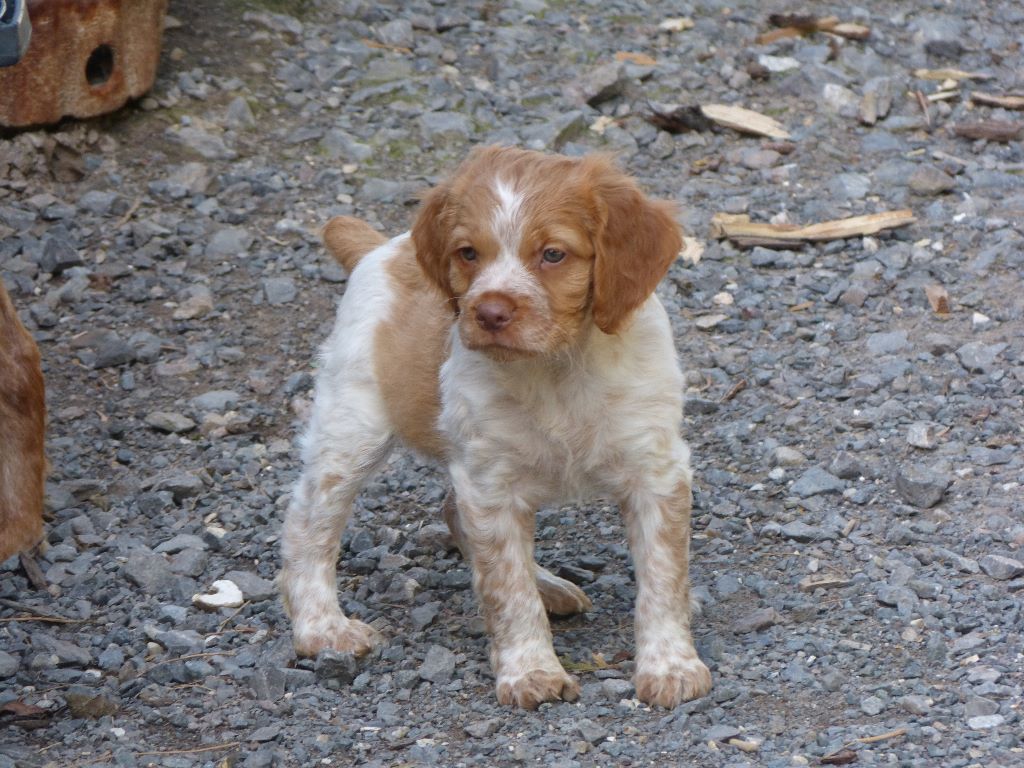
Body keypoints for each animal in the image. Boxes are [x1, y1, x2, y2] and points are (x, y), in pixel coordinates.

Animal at [280, 144, 712, 708]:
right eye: (468, 253)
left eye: (553, 254)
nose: (487, 312)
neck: (556, 369)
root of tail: (382, 249)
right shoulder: (490, 482)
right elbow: (507, 586)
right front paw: (531, 672)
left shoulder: (655, 470)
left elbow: (663, 576)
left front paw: (671, 666)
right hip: (352, 429)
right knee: (309, 523)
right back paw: (322, 628)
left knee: (450, 510)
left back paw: (549, 585)